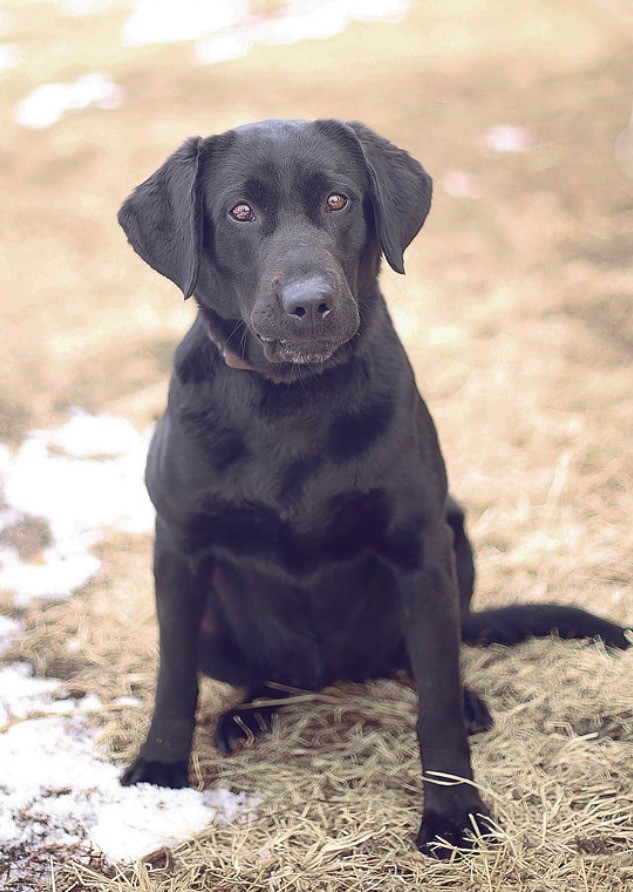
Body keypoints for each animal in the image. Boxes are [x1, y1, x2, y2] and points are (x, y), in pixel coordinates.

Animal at [117, 118, 628, 856]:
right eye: (239, 212)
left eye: (338, 201)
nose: (309, 304)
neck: (292, 401)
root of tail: (328, 676)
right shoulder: (179, 547)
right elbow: (173, 675)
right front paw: (158, 773)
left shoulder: (420, 549)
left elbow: (435, 698)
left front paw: (453, 813)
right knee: (260, 678)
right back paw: (247, 715)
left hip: (455, 536)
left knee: (423, 660)